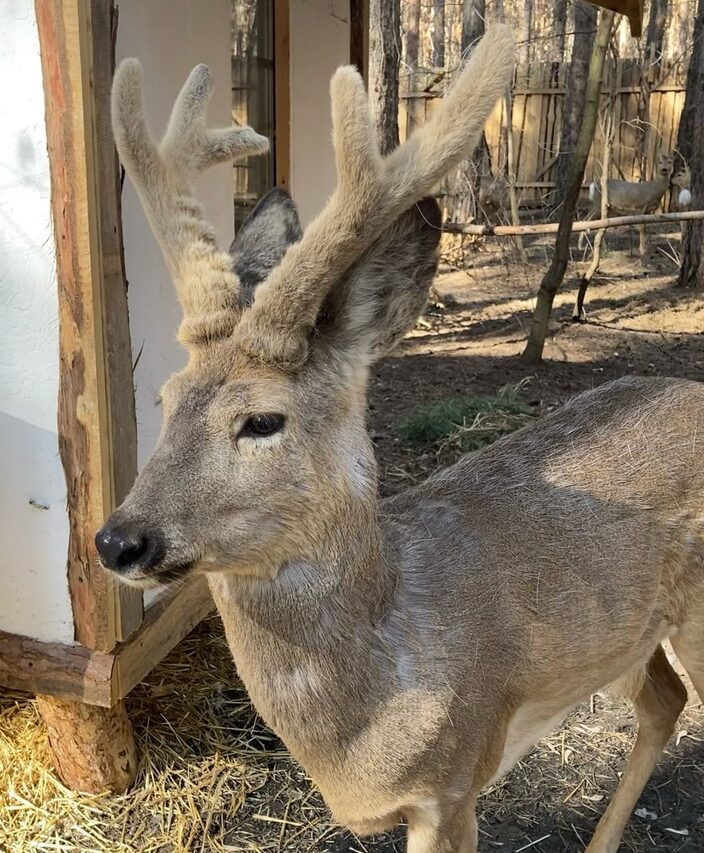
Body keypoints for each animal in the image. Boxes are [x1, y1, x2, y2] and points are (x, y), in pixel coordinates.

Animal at [97, 26, 704, 852]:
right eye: (164, 397)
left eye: (262, 419)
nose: (119, 538)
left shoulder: (456, 777)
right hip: (626, 632)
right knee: (664, 699)